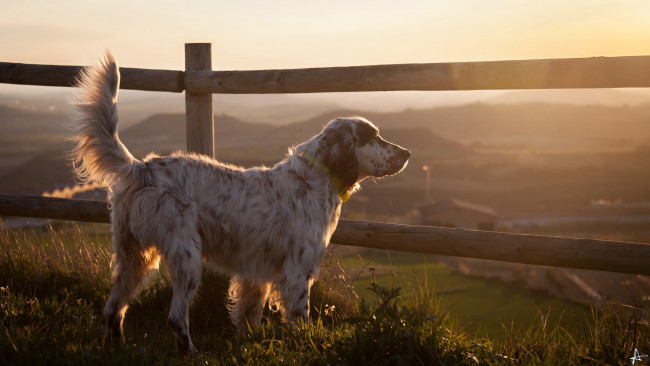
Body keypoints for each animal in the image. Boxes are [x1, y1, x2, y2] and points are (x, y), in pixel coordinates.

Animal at [68, 53, 408, 354]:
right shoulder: (297, 270)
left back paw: (120, 347)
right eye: (373, 136)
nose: (407, 153)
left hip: (133, 256)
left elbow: (249, 315)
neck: (314, 178)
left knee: (112, 308)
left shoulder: (255, 273)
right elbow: (300, 319)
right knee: (175, 318)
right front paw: (307, 345)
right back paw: (191, 352)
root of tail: (141, 168)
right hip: (186, 257)